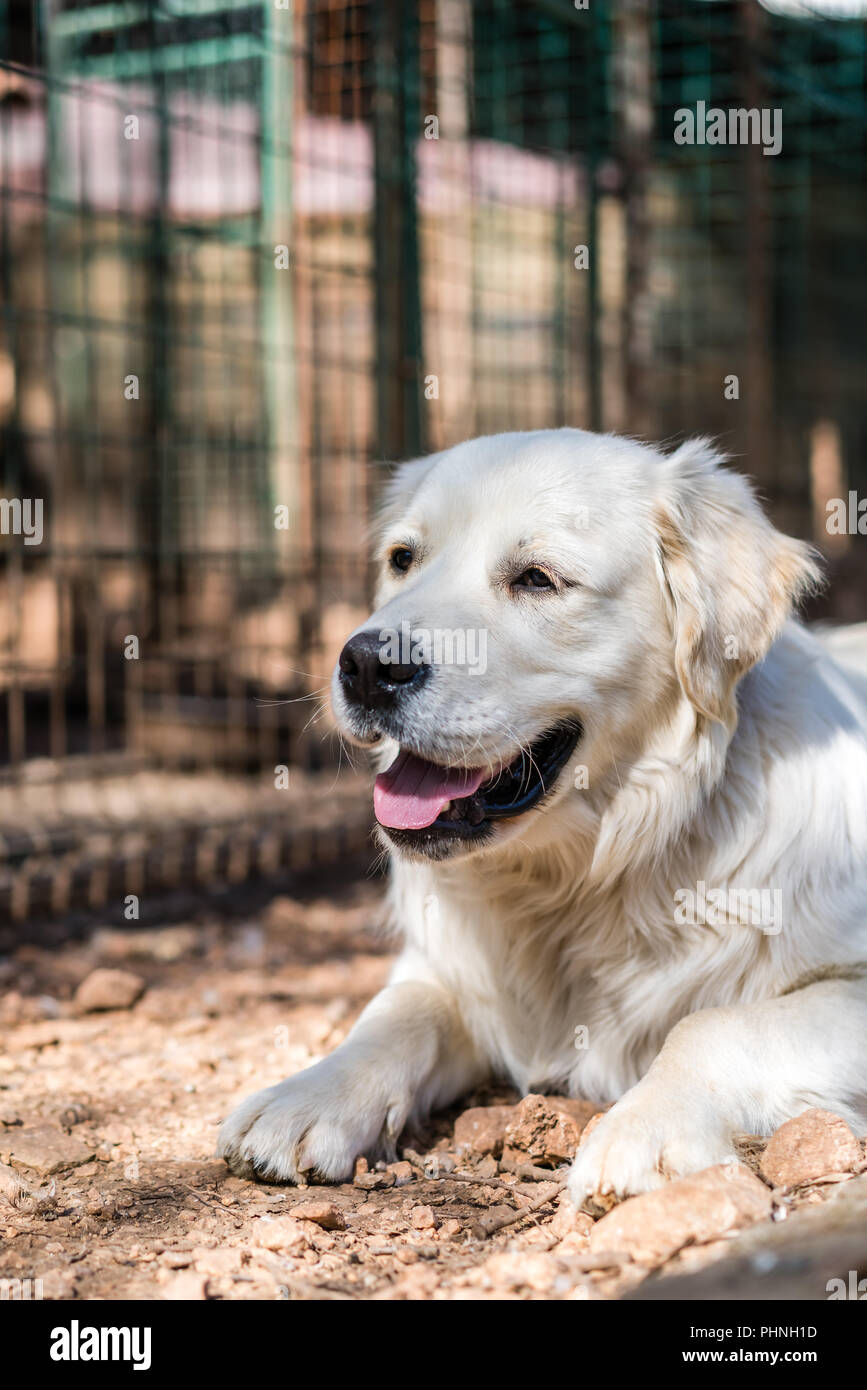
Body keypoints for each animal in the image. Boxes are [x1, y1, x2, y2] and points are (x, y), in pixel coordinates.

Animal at [219, 428, 867, 1200]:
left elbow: (713, 1024)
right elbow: (393, 1015)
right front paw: (307, 1095)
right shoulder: (446, 966)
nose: (367, 666)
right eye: (403, 558)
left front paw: (644, 1131)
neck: (582, 878)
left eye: (536, 578)